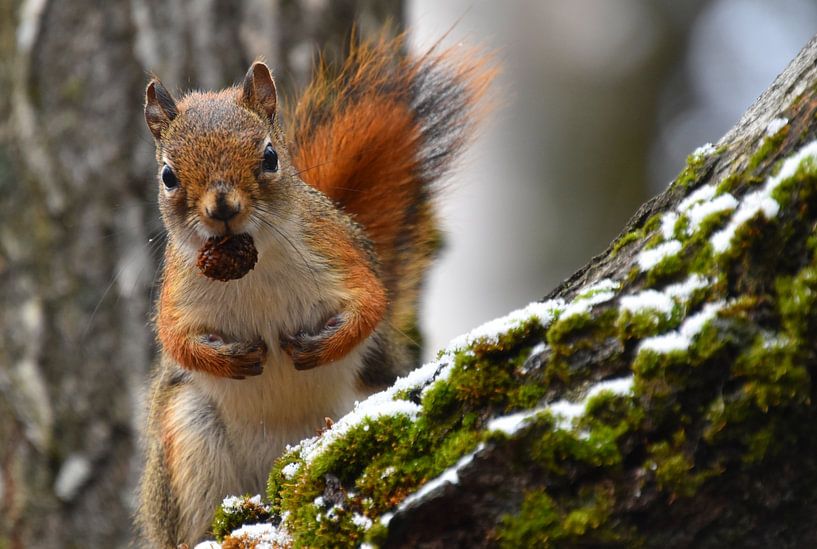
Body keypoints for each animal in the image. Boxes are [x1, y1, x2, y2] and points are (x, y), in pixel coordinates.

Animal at [137, 33, 493, 547]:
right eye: (168, 176)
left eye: (269, 157)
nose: (222, 207)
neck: (253, 265)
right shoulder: (177, 292)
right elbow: (174, 340)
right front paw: (229, 359)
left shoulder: (337, 251)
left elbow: (372, 303)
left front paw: (322, 346)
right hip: (189, 438)